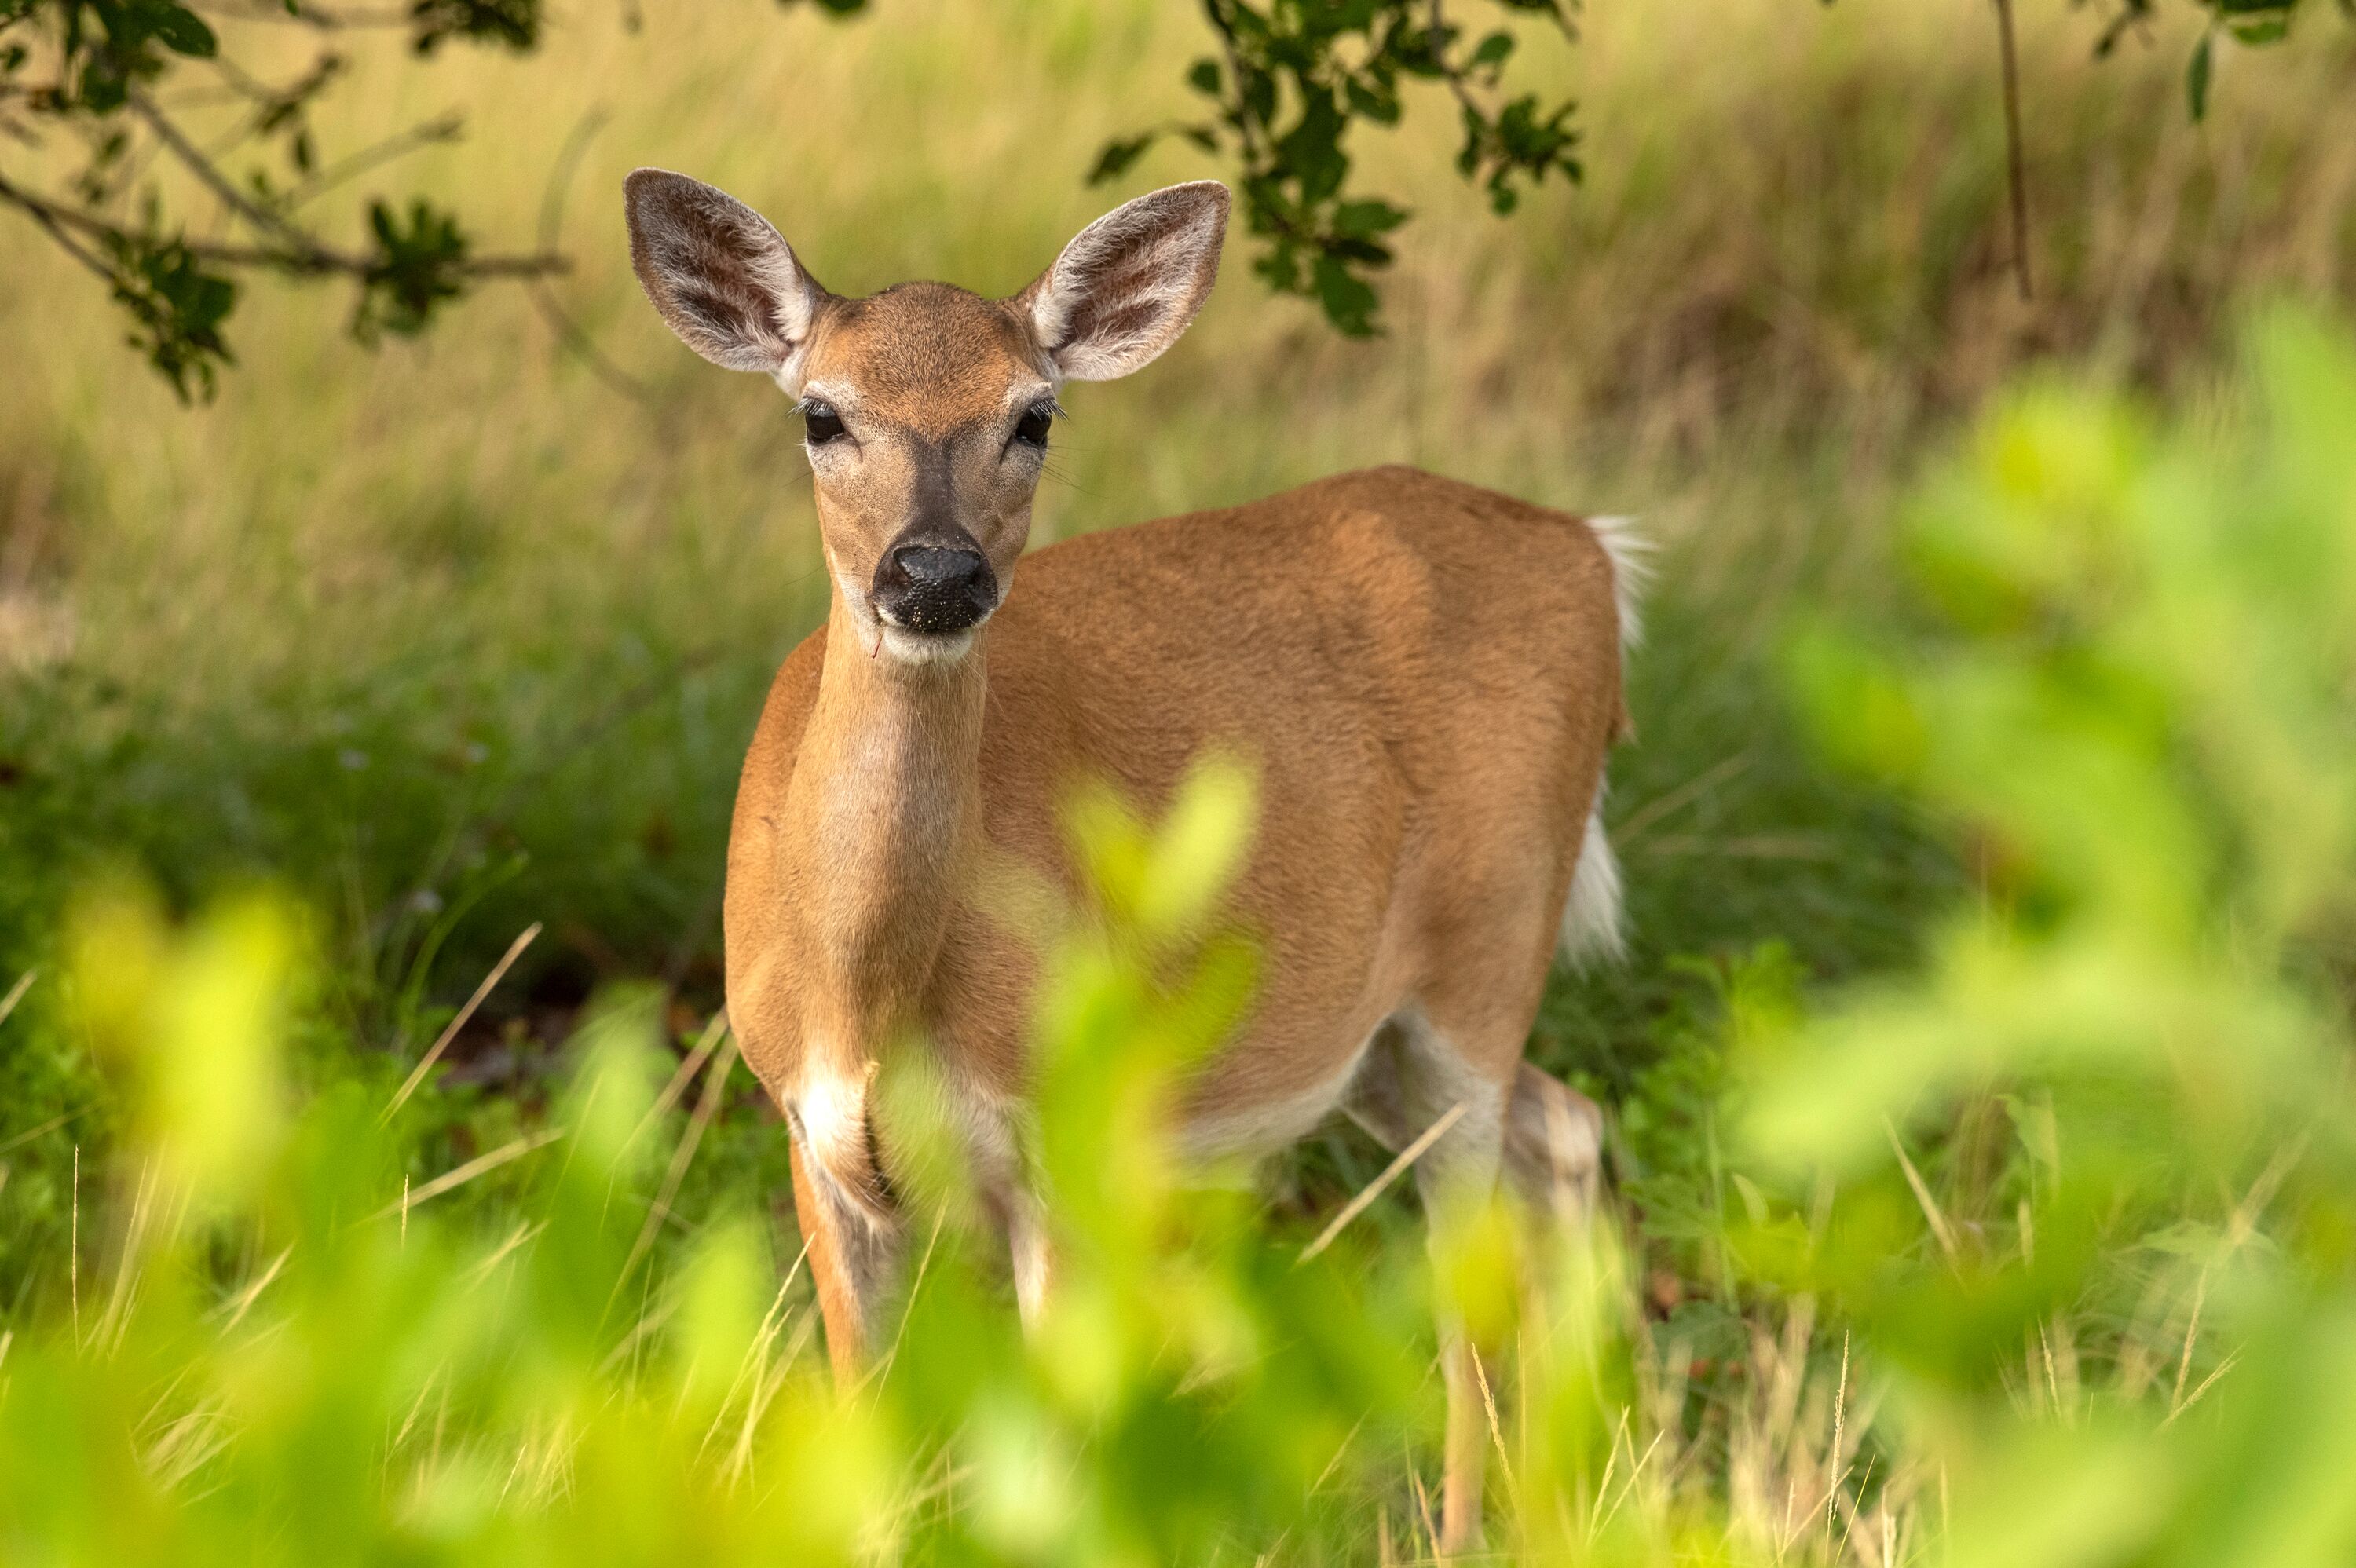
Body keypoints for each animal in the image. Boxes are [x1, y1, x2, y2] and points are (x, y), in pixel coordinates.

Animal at [623, 168, 1640, 1554]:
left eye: (1035, 415)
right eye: (821, 414)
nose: (933, 572)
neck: (876, 999)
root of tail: (1597, 555)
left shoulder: (1074, 1133)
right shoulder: (810, 1138)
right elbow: (864, 1448)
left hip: (1487, 952)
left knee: (1470, 1263)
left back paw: (1476, 1524)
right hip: (1372, 1033)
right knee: (1570, 1126)